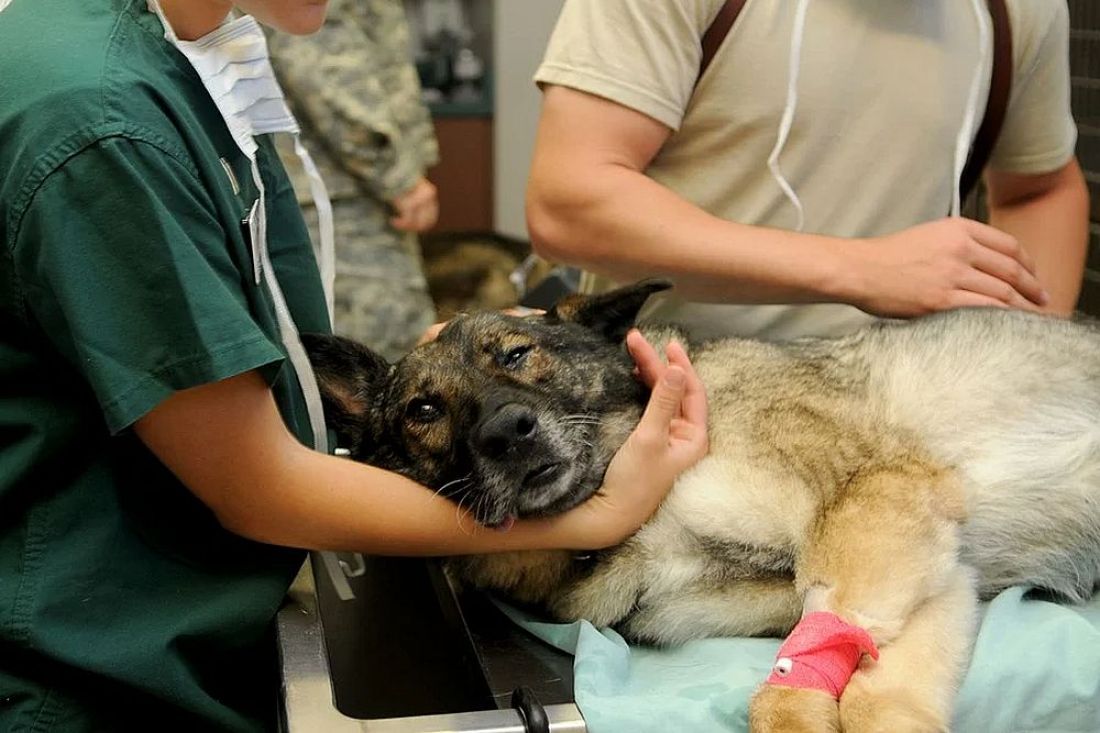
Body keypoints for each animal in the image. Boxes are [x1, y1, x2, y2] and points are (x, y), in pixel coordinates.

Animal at [305, 280, 1100, 730]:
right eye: (424, 409)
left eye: (516, 353)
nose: (507, 431)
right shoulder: (932, 574)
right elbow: (869, 686)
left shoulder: (880, 504)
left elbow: (812, 687)